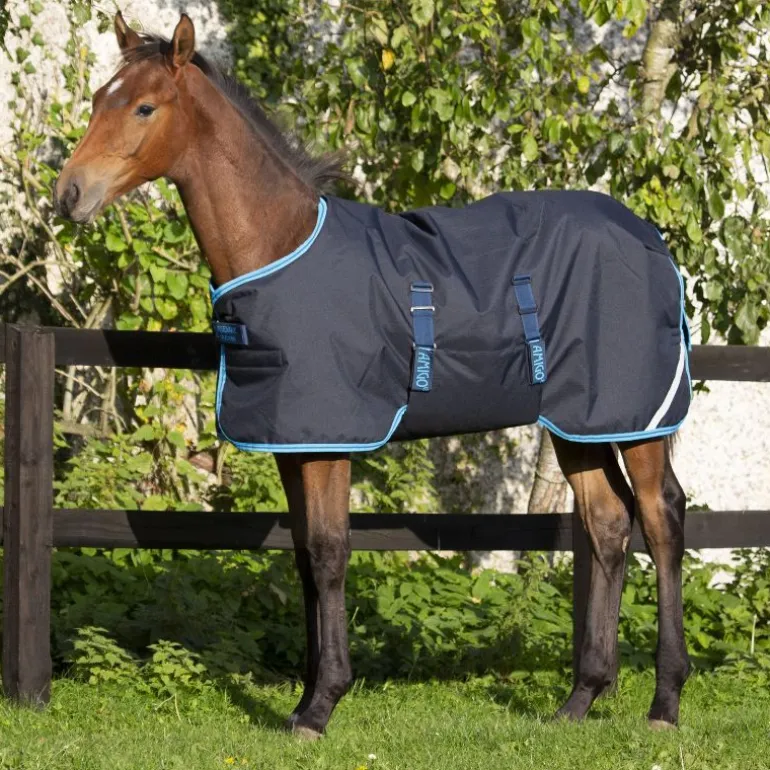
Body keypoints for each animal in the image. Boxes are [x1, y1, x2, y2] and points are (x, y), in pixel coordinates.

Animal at [54, 12, 691, 739]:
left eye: (144, 107)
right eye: (99, 98)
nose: (69, 194)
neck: (280, 246)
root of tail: (651, 238)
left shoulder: (332, 442)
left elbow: (331, 553)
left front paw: (323, 704)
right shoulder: (293, 445)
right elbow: (304, 558)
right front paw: (304, 699)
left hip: (637, 420)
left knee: (662, 520)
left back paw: (664, 702)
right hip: (578, 424)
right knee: (608, 525)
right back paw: (580, 699)